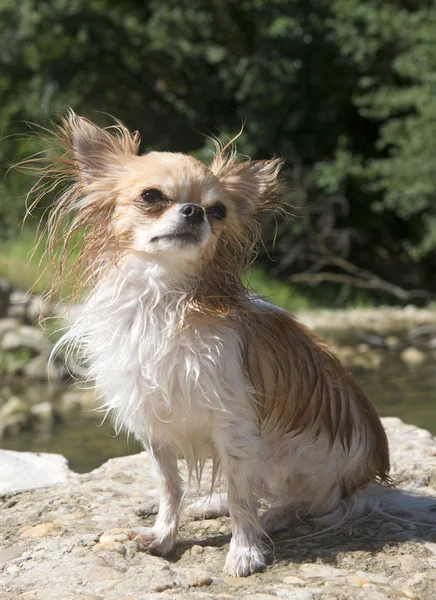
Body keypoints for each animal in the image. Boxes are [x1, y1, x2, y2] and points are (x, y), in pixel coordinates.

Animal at [27, 112, 396, 576]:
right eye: (151, 197)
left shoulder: (233, 427)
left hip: (300, 457)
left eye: (218, 211)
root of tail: (368, 477)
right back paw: (210, 506)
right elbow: (170, 487)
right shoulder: (156, 428)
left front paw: (244, 550)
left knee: (305, 501)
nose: (195, 210)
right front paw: (165, 536)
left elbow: (240, 493)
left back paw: (273, 517)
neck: (162, 300)